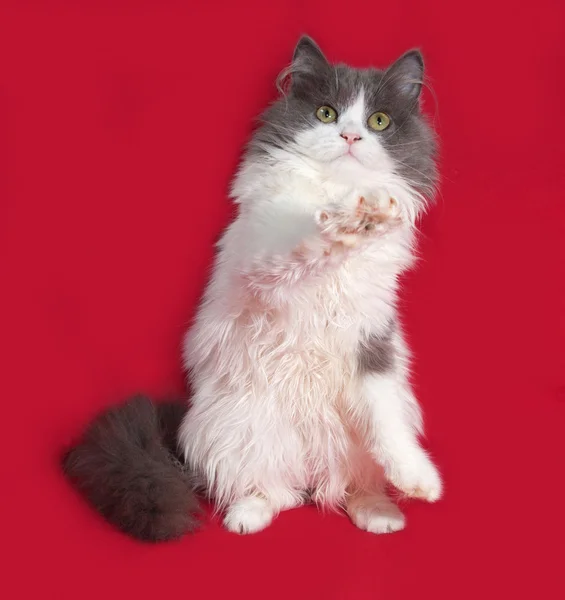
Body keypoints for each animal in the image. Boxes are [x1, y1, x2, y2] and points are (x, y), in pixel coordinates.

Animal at [62, 36, 440, 544]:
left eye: (378, 122)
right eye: (326, 113)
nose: (350, 137)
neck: (335, 188)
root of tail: (311, 472)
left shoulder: (372, 341)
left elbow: (387, 425)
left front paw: (418, 479)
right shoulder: (263, 266)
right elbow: (303, 241)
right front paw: (346, 222)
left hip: (356, 440)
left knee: (353, 484)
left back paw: (379, 512)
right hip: (237, 428)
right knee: (271, 490)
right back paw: (248, 515)